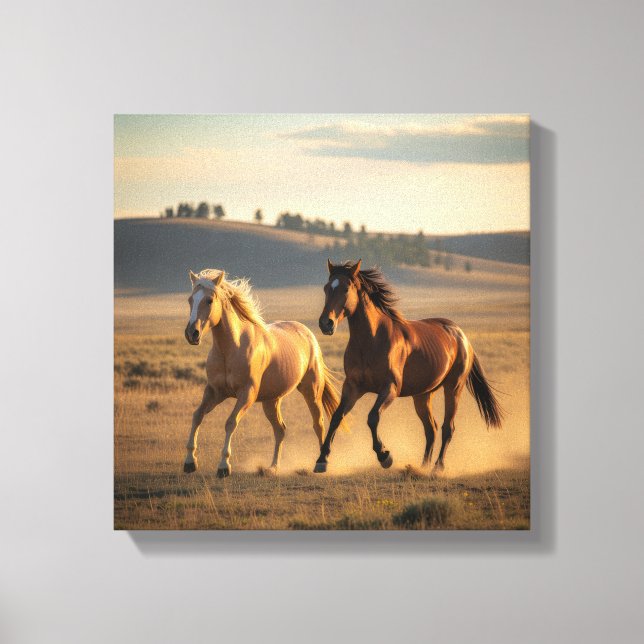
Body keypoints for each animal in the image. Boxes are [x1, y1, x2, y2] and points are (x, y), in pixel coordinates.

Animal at [183, 268, 341, 477]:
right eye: (190, 299)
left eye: (209, 300)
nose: (191, 333)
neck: (231, 349)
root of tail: (308, 334)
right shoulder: (215, 392)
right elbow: (197, 416)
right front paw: (189, 462)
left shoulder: (247, 394)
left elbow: (230, 422)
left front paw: (224, 466)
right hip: (271, 401)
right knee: (280, 430)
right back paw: (272, 467)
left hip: (311, 391)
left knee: (318, 424)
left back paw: (320, 464)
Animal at [314, 259, 503, 474]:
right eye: (326, 288)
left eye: (346, 288)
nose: (326, 323)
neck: (371, 340)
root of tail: (460, 334)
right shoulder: (353, 387)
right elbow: (337, 416)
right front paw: (321, 459)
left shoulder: (390, 388)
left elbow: (372, 417)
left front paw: (384, 456)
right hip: (422, 395)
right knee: (431, 428)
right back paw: (423, 466)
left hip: (454, 387)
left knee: (447, 427)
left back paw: (437, 467)